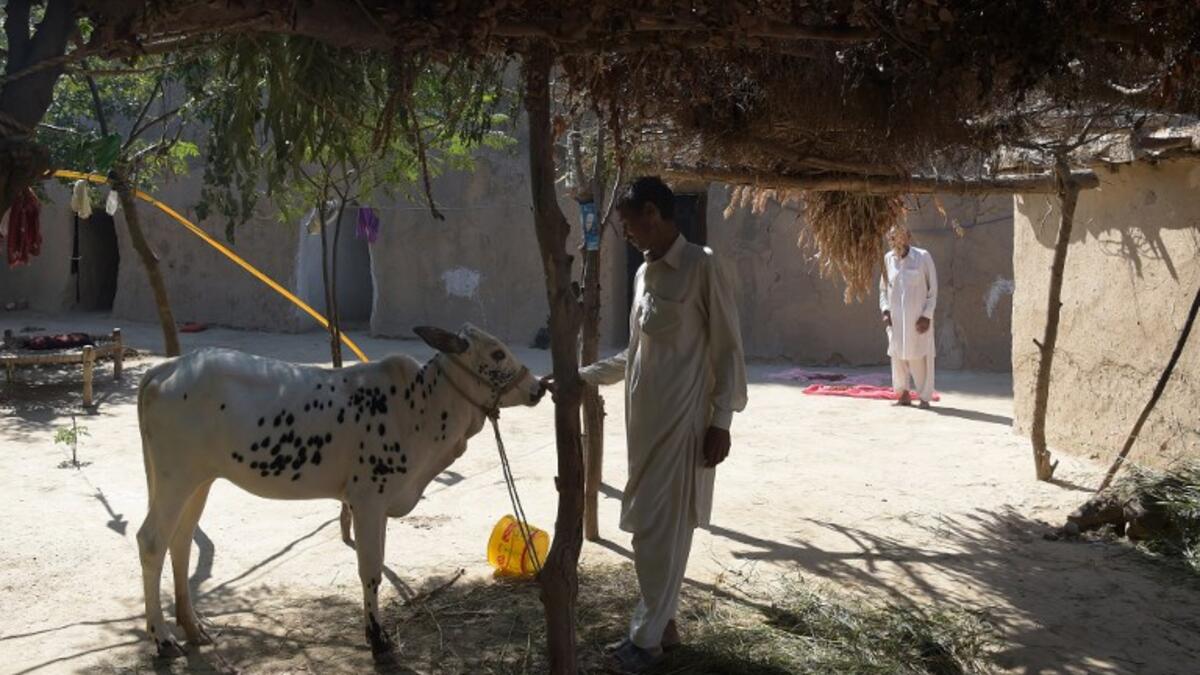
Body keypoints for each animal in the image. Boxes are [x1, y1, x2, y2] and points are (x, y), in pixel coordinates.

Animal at [134, 324, 545, 657]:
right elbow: (371, 570)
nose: (539, 387)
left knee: (180, 542)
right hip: (176, 478)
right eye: (497, 353)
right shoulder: (367, 500)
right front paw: (377, 639)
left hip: (198, 481)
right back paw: (163, 639)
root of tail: (164, 369)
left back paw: (193, 627)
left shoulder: (378, 503)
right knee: (152, 541)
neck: (419, 405)